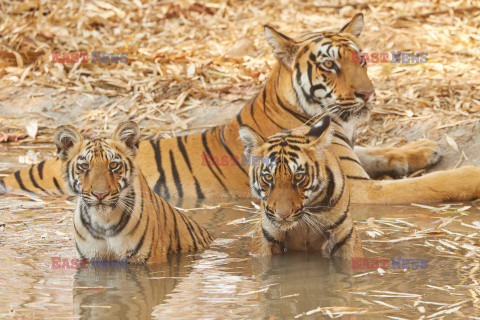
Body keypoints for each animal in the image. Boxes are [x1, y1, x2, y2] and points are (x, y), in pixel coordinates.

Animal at [1, 13, 478, 204]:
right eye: (329, 64)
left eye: (361, 60)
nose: (367, 95)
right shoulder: (359, 190)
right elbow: (431, 184)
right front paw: (467, 173)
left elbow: (381, 151)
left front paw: (423, 149)